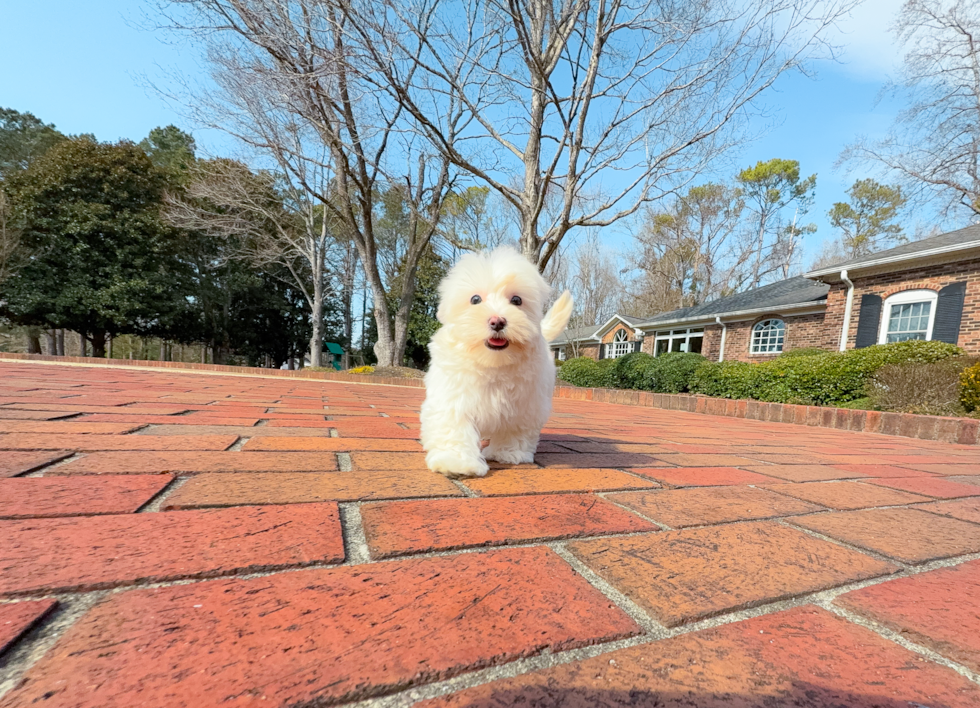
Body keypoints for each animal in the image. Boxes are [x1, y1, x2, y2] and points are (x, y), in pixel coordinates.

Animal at [418, 246, 572, 478]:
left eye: (516, 300)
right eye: (475, 299)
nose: (497, 321)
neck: (493, 364)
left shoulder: (524, 405)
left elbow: (515, 430)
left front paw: (507, 453)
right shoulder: (453, 397)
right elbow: (455, 426)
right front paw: (456, 461)